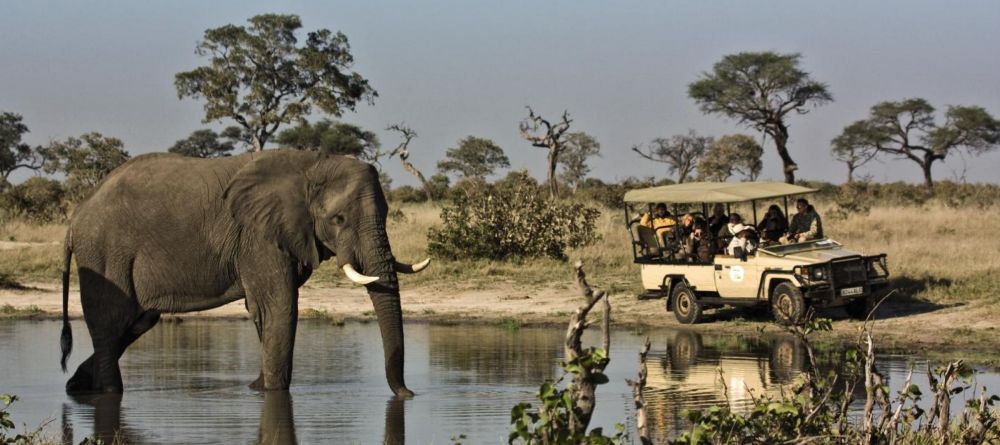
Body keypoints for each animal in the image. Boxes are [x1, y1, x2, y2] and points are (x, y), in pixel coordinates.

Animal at [59, 149, 427, 397]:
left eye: (388, 213)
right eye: (339, 219)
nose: (408, 394)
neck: (311, 163)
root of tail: (76, 216)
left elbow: (265, 310)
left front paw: (257, 387)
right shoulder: (257, 237)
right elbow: (279, 306)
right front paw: (271, 392)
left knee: (136, 322)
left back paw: (77, 386)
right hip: (104, 254)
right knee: (113, 323)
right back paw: (108, 392)